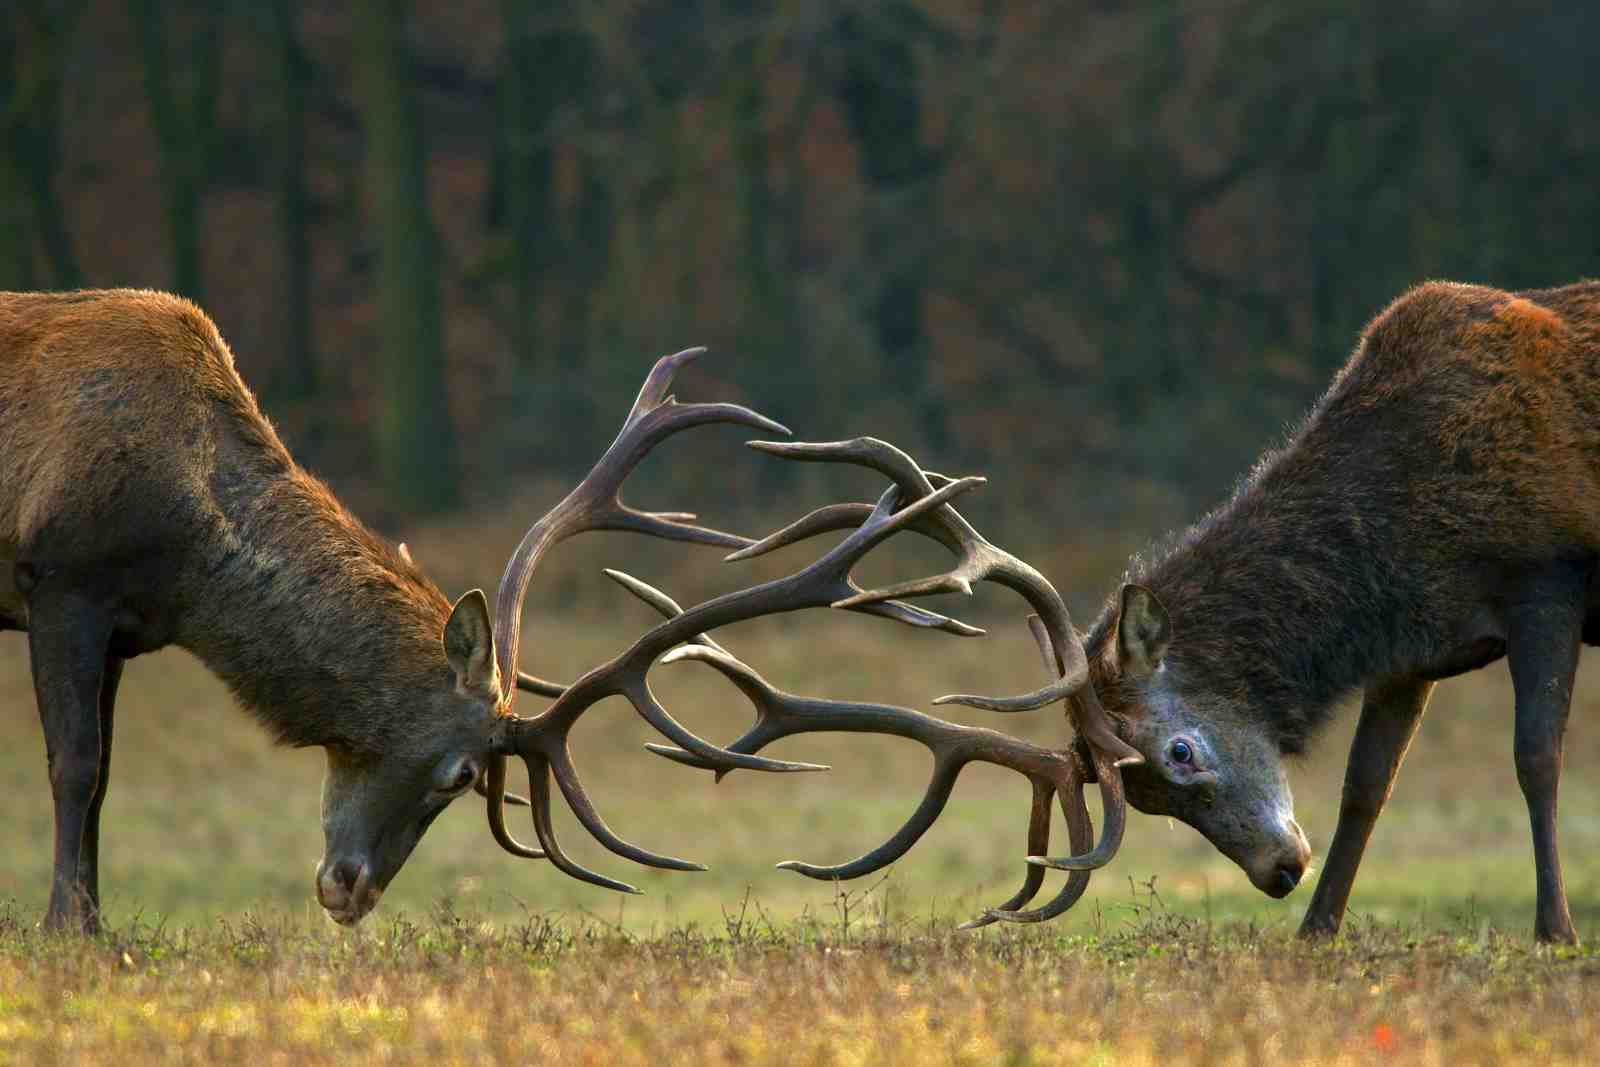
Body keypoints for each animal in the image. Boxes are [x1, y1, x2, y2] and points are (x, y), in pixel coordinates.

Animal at [2, 287, 1145, 934]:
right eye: (463, 772)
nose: (345, 888)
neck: (190, 554)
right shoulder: (62, 577)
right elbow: (78, 767)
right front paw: (71, 930)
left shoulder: (122, 623)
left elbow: (101, 775)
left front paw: (86, 917)